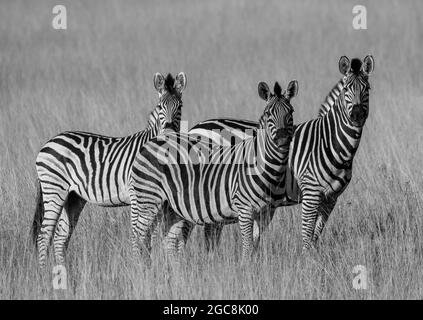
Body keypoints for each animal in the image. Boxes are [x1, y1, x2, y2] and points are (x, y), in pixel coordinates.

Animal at [31, 72, 187, 268]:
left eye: (180, 106)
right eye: (160, 107)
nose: (168, 134)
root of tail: (49, 142)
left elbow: (151, 237)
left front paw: (150, 267)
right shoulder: (137, 197)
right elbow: (139, 235)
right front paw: (140, 268)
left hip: (73, 197)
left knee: (60, 236)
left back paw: (62, 270)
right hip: (54, 189)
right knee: (44, 235)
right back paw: (43, 273)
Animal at [128, 79, 298, 260]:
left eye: (291, 112)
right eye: (268, 113)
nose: (282, 140)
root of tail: (155, 139)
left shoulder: (266, 212)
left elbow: (255, 245)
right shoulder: (245, 209)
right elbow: (247, 248)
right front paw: (245, 267)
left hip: (171, 207)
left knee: (168, 241)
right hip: (149, 199)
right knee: (139, 236)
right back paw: (141, 265)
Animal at [179, 56, 374, 254]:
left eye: (367, 88)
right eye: (346, 89)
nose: (357, 114)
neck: (328, 142)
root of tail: (194, 129)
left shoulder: (331, 198)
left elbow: (316, 234)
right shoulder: (310, 191)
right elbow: (307, 232)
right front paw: (308, 259)